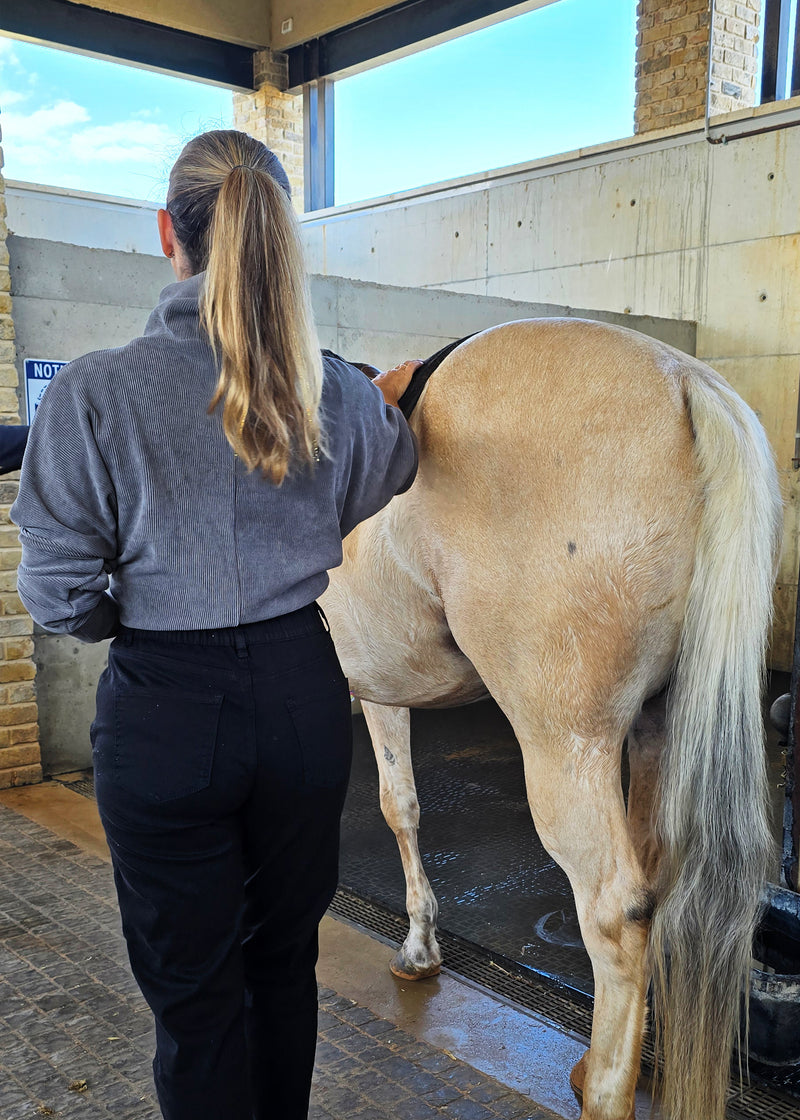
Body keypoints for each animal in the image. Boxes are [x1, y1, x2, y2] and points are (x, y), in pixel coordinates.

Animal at [318, 318, 779, 1120]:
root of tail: (684, 378)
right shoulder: (377, 689)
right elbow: (404, 802)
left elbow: (391, 805)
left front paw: (416, 945)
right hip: (654, 729)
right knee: (653, 877)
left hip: (565, 745)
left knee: (615, 913)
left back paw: (604, 1088)